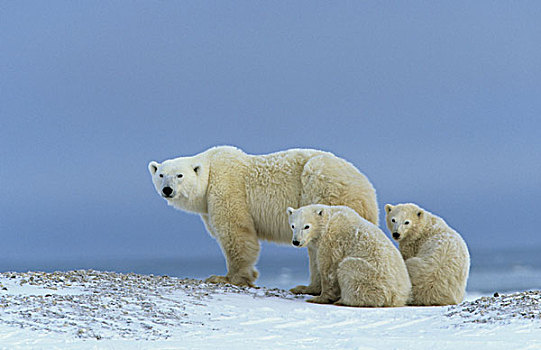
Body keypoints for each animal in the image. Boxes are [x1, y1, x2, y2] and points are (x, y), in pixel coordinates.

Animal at [146, 146, 378, 286]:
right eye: (161, 174)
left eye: (179, 175)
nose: (167, 189)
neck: (211, 171)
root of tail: (367, 188)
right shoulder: (207, 207)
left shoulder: (228, 188)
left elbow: (236, 232)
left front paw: (227, 277)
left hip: (322, 185)